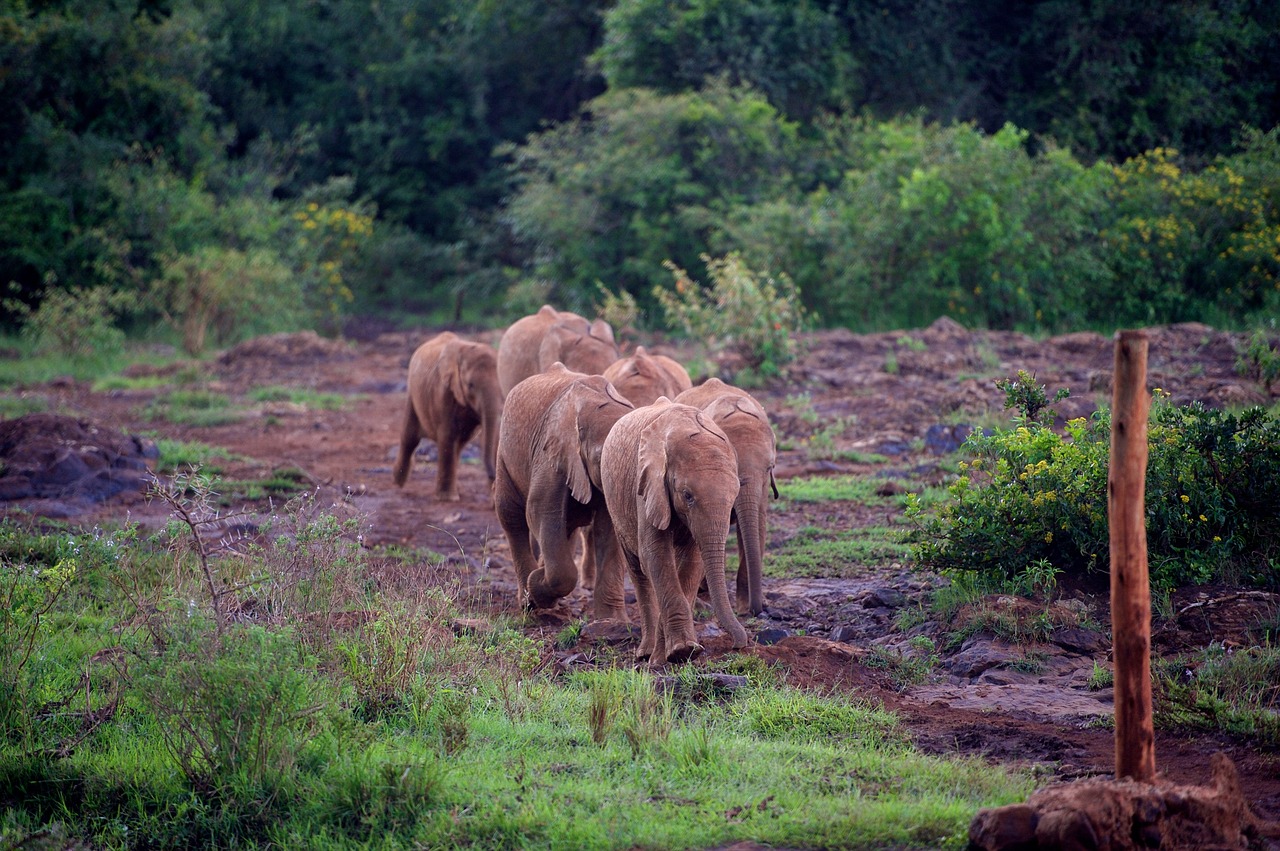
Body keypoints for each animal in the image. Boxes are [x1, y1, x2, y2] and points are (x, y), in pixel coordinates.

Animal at [391, 330, 501, 501]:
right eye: (470, 385)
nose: (493, 477)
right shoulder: (443, 392)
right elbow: (447, 435)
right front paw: (447, 499)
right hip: (413, 394)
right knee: (410, 437)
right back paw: (398, 484)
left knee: (458, 445)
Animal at [494, 363, 634, 616]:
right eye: (600, 458)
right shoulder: (552, 449)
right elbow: (540, 511)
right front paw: (537, 588)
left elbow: (610, 528)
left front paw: (612, 620)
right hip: (505, 454)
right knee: (511, 516)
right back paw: (528, 602)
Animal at [599, 399, 747, 665]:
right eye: (687, 496)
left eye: (734, 497)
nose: (738, 645)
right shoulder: (647, 484)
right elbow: (655, 555)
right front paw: (680, 651)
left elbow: (693, 562)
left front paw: (677, 653)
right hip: (615, 503)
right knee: (638, 571)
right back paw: (645, 653)